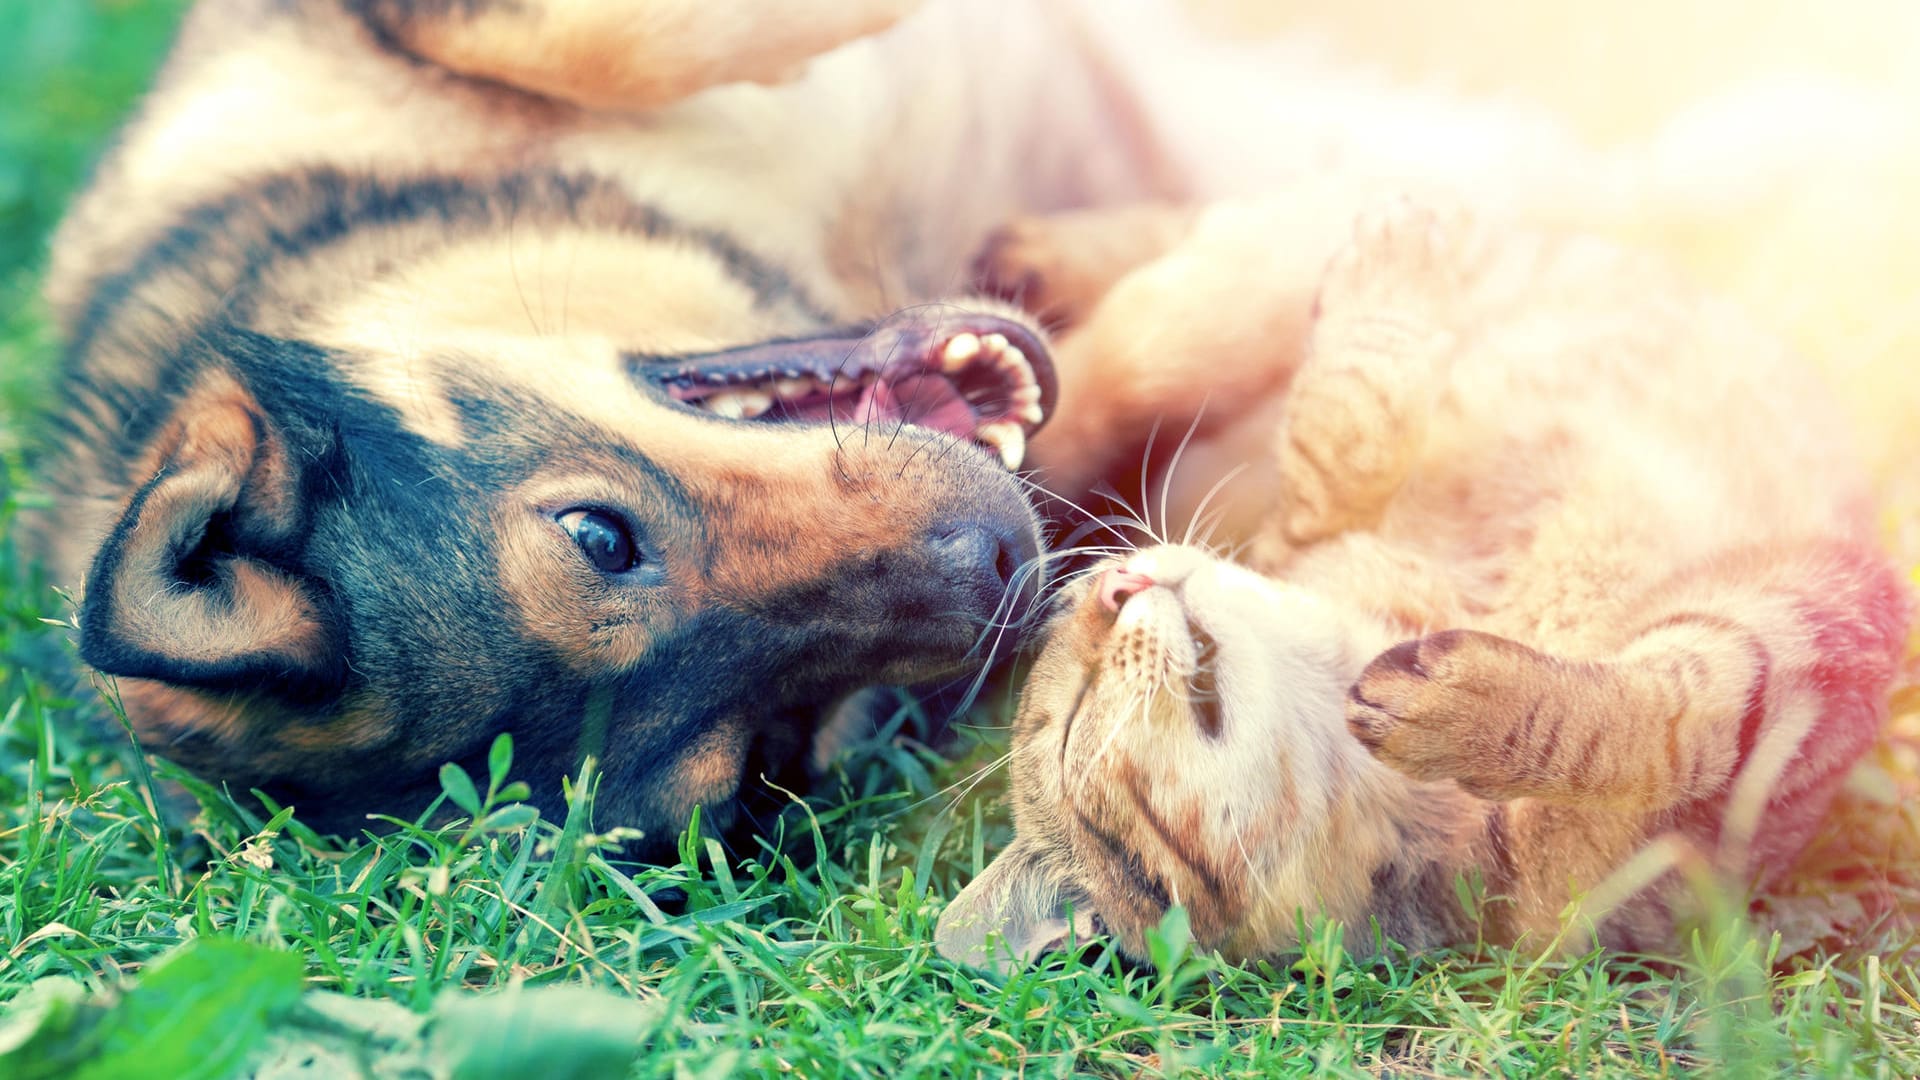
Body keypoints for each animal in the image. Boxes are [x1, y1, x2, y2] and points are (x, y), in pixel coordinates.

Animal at [929, 197, 1904, 960]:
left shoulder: (1810, 614)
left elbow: (1342, 438)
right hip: (1174, 338)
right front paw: (1472, 712)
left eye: (1074, 619)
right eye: (1068, 721)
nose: (1112, 585)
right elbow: (1665, 727)